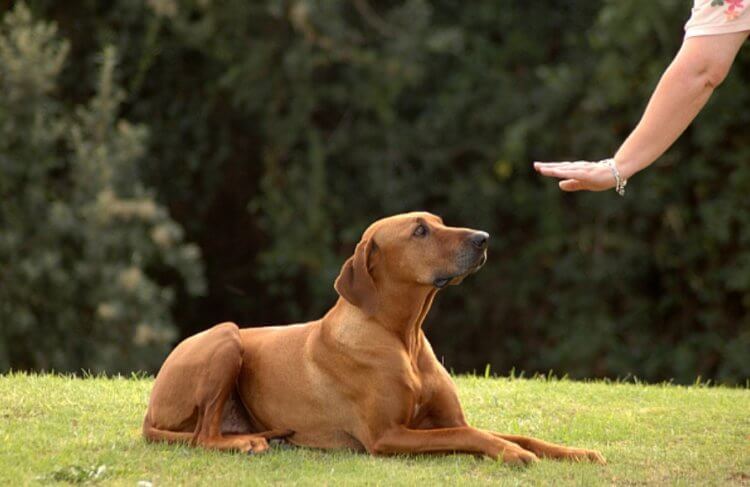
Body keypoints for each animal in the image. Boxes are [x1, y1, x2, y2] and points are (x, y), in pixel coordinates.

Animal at [144, 213, 608, 466]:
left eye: (439, 222)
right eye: (419, 231)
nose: (484, 238)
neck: (403, 337)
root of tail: (149, 410)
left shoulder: (449, 419)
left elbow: (514, 434)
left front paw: (576, 453)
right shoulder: (387, 436)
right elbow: (472, 437)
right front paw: (510, 454)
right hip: (226, 335)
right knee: (203, 436)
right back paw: (246, 443)